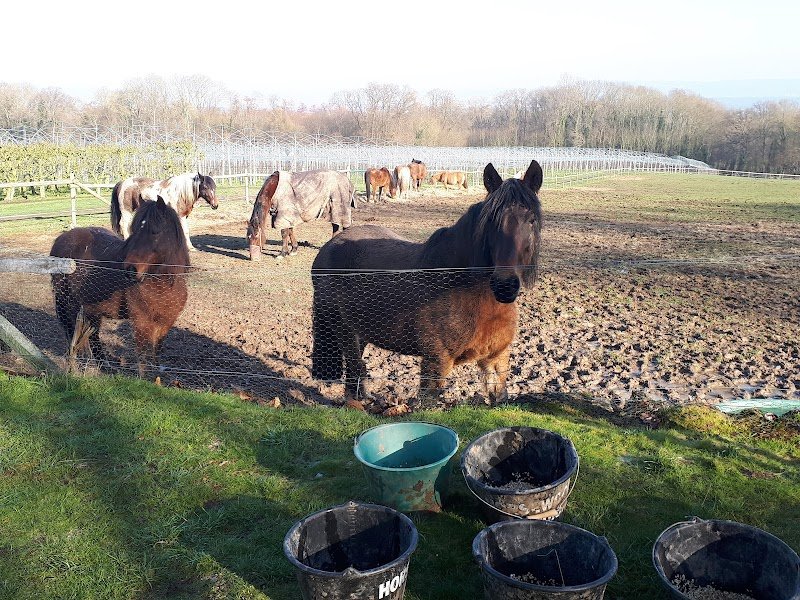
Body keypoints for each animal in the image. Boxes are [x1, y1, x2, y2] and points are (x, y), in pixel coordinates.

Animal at [51, 197, 191, 378]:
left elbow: (156, 352)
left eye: (155, 231)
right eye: (135, 230)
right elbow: (143, 354)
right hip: (69, 305)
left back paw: (105, 367)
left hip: (91, 309)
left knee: (93, 336)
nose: (130, 269)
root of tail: (61, 239)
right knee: (73, 336)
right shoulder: (141, 321)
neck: (161, 285)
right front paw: (144, 379)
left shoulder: (166, 322)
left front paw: (157, 378)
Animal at [311, 160, 543, 405]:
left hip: (361, 330)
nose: (505, 286)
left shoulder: (497, 359)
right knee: (356, 366)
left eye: (532, 221)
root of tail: (329, 247)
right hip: (342, 328)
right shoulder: (436, 361)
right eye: (491, 222)